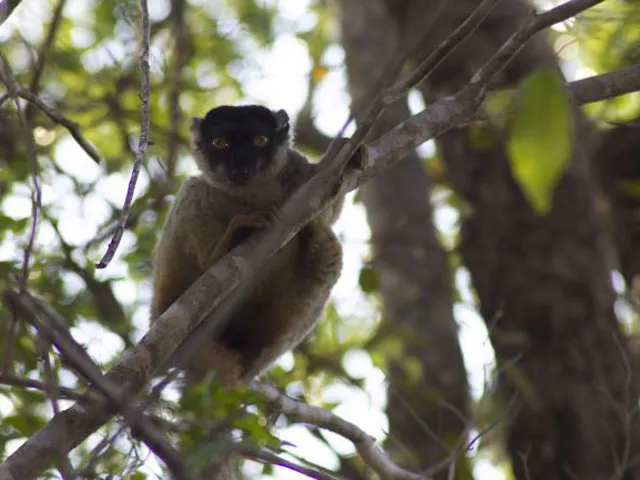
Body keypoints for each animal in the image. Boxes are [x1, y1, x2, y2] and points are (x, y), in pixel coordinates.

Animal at [150, 105, 346, 389]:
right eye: (220, 144)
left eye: (260, 141)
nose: (240, 168)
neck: (252, 194)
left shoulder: (297, 170)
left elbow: (329, 209)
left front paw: (346, 156)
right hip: (166, 297)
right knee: (194, 187)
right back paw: (226, 246)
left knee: (329, 248)